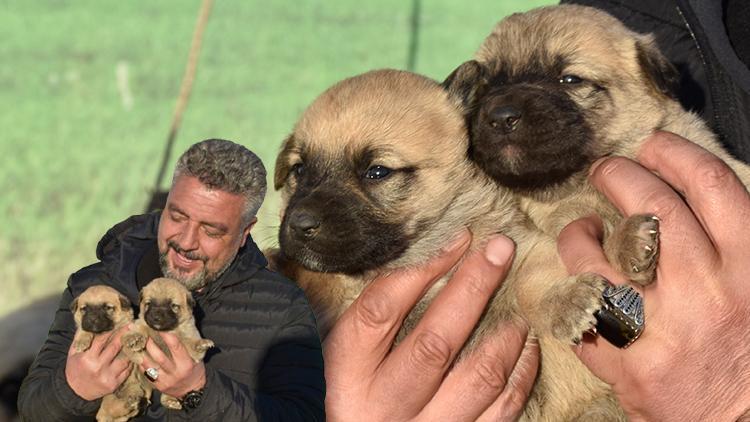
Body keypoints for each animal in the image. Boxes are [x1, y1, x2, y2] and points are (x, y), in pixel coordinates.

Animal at [71, 286, 151, 420]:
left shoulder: (126, 326)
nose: (92, 319)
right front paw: (81, 342)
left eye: (107, 308)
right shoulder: (83, 326)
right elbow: (83, 329)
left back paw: (134, 400)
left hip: (133, 386)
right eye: (84, 309)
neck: (103, 333)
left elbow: (127, 332)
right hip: (108, 397)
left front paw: (133, 340)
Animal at [122, 278, 213, 410]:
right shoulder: (141, 324)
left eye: (173, 306)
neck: (164, 331)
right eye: (149, 303)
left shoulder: (188, 334)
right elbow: (139, 328)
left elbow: (191, 342)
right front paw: (134, 338)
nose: (156, 317)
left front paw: (201, 344)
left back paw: (170, 401)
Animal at [274, 68, 624, 418]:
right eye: (299, 169)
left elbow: (536, 278)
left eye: (377, 171)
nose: (299, 224)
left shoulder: (516, 247)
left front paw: (569, 300)